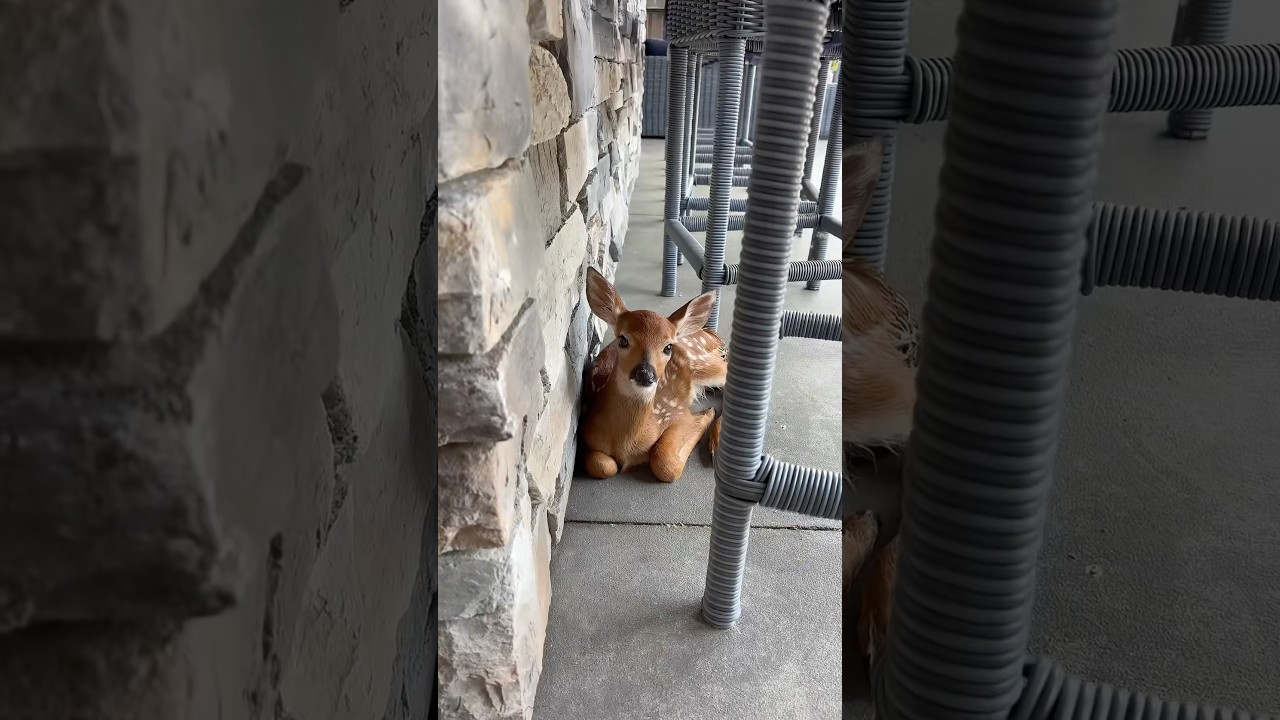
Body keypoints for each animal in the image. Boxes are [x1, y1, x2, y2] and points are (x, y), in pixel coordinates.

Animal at [579, 266, 728, 483]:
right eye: (623, 340)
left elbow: (665, 464)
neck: (626, 443)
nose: (645, 374)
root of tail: (709, 333)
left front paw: (706, 414)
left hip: (706, 364)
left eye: (668, 347)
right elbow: (603, 466)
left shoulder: (675, 413)